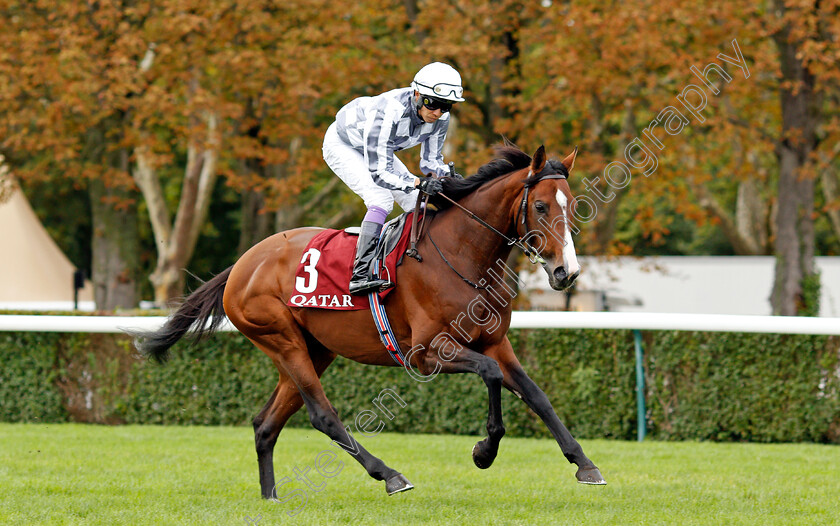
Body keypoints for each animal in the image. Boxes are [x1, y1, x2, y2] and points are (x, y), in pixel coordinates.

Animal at [133, 146, 604, 502]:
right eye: (540, 206)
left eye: (570, 206)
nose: (567, 272)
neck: (462, 254)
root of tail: (242, 264)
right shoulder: (426, 353)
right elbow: (489, 376)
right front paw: (484, 451)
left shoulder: (495, 342)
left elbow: (535, 394)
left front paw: (585, 464)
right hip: (281, 339)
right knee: (322, 415)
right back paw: (389, 474)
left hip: (314, 349)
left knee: (266, 424)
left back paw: (271, 496)